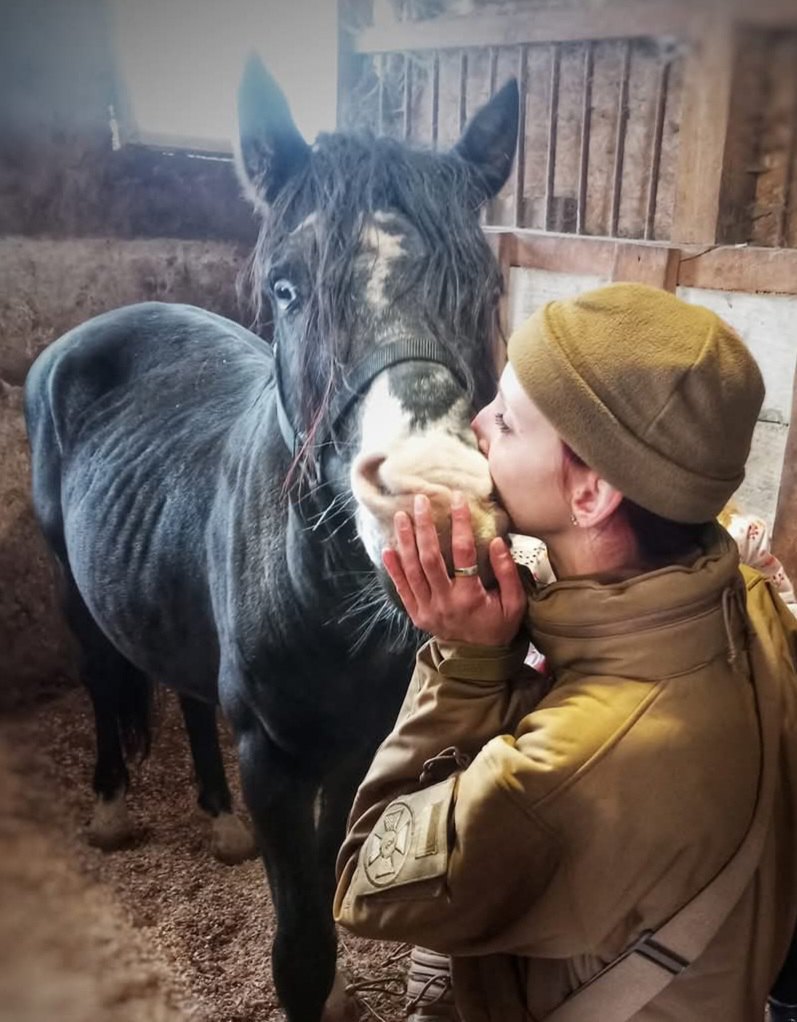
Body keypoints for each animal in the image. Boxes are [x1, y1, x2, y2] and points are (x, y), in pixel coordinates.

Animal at [23, 57, 517, 1021]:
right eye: (287, 287)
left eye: (486, 288)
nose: (435, 521)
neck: (326, 594)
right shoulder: (275, 761)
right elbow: (299, 947)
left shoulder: (356, 746)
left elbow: (328, 883)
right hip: (71, 583)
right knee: (103, 677)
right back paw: (109, 809)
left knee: (182, 689)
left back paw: (217, 821)